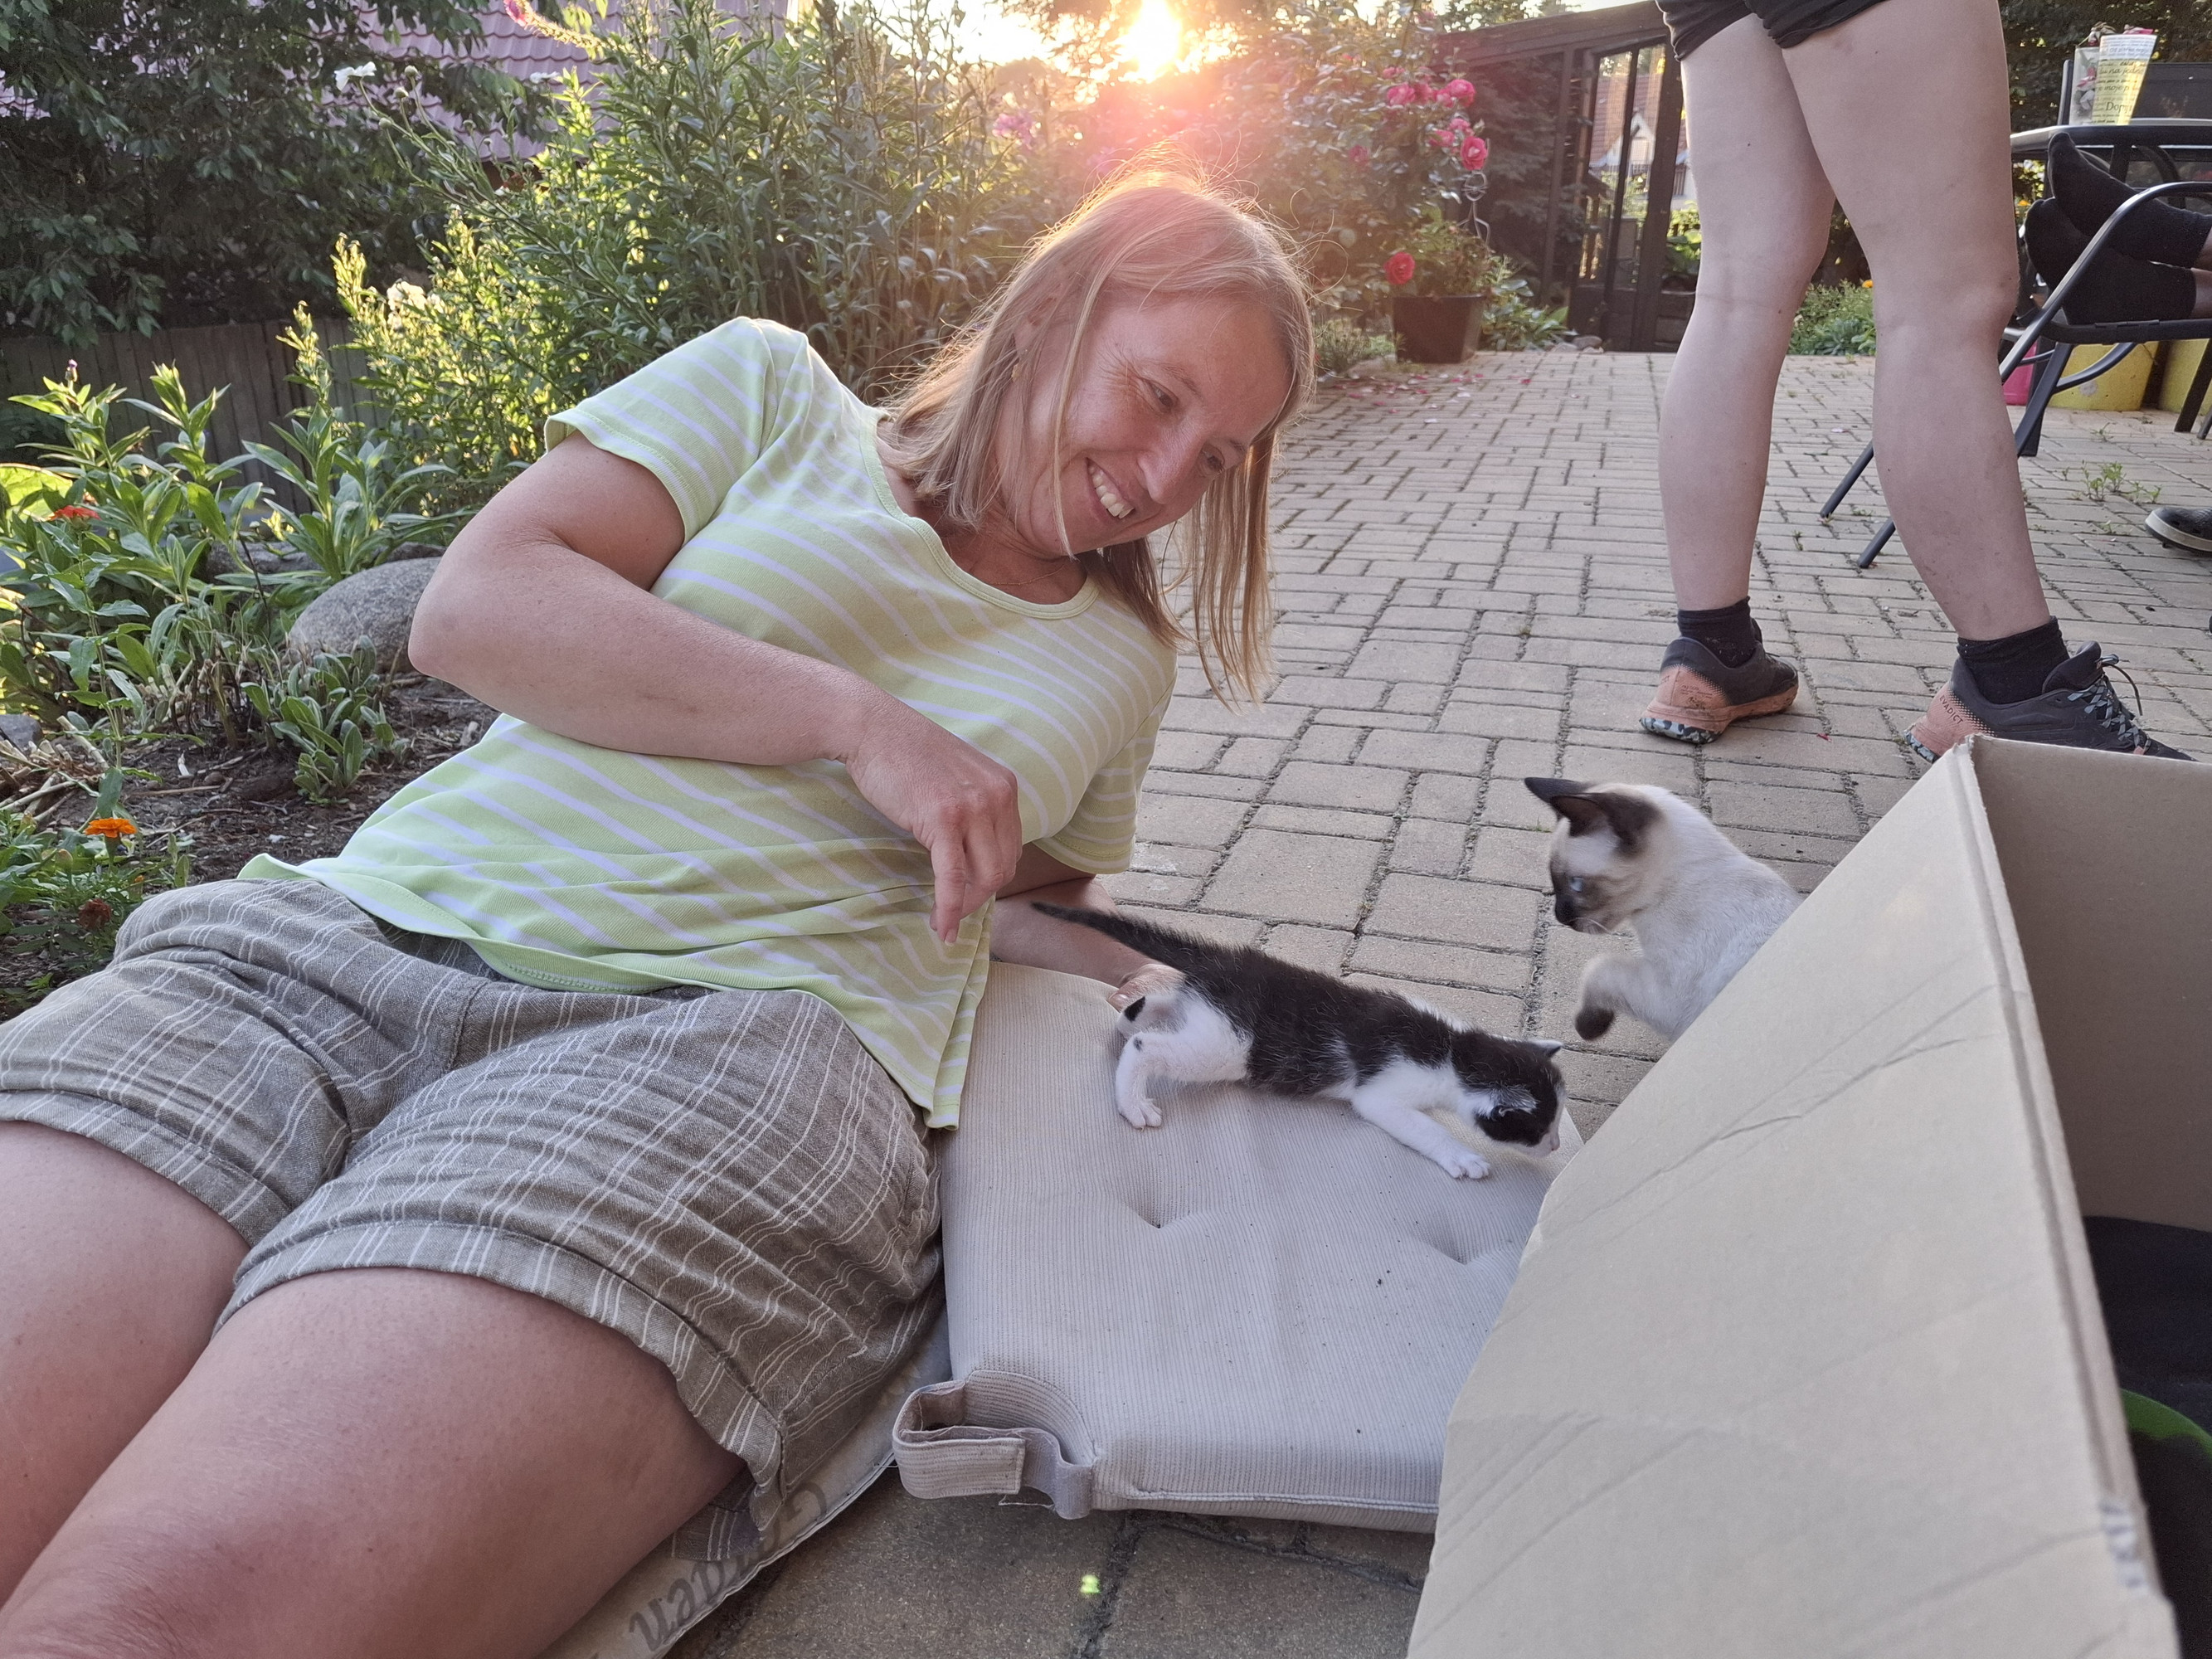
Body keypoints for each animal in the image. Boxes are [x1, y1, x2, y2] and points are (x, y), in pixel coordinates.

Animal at [1029, 902, 1565, 1180]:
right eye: (1538, 1129)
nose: (1558, 1145)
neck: (1455, 1049)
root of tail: (1226, 962)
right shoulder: (1383, 1093)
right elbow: (1420, 1125)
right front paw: (1463, 1157)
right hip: (1230, 1045)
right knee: (1146, 1047)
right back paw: (1133, 1102)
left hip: (1205, 1016)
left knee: (1147, 1009)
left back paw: (1134, 1016)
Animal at [1525, 777, 1801, 1043]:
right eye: (1556, 882)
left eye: (1576, 884)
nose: (1560, 917)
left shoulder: (1669, 1003)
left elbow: (1598, 968)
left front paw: (1588, 1029)